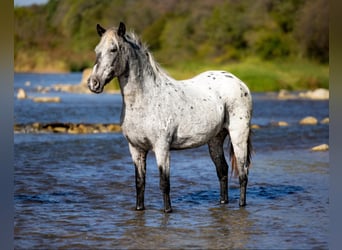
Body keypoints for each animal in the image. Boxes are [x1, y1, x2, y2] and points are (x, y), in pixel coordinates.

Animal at [87, 22, 254, 213]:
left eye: (113, 49)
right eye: (97, 49)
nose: (93, 83)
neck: (145, 100)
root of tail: (239, 83)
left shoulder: (162, 148)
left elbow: (164, 183)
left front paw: (168, 210)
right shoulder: (136, 149)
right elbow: (139, 183)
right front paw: (139, 208)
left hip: (238, 135)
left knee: (243, 172)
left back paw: (241, 204)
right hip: (215, 139)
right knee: (223, 170)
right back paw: (223, 202)